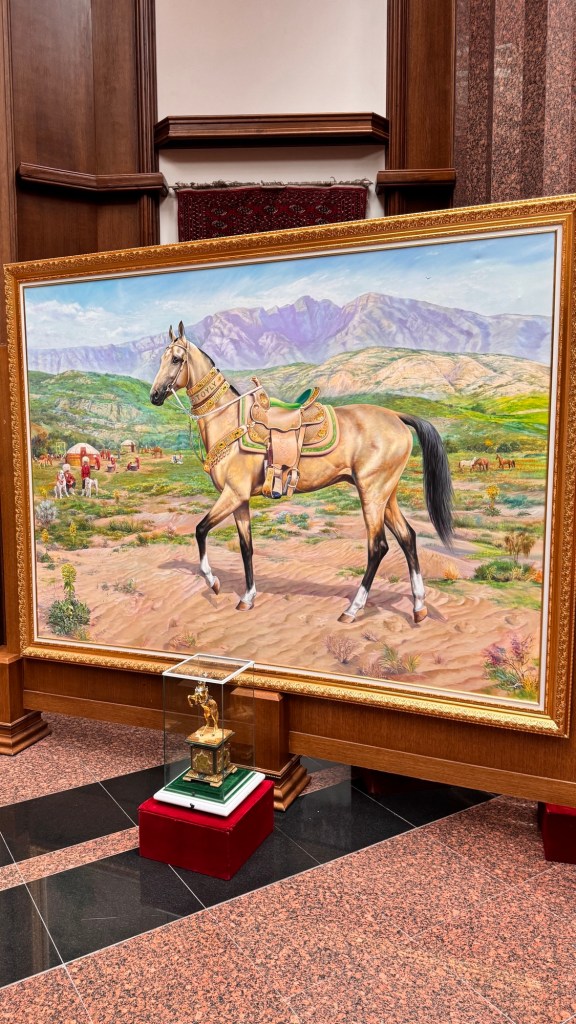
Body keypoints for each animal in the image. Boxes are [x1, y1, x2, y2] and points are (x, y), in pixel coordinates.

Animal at [149, 322, 454, 624]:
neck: (229, 421)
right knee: (408, 538)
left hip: (372, 494)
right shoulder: (240, 500)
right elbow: (246, 546)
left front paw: (213, 582)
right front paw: (247, 597)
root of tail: (397, 417)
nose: (154, 395)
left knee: (377, 547)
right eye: (161, 358)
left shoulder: (232, 494)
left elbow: (200, 530)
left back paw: (353, 609)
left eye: (175, 359)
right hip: (386, 496)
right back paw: (418, 607)